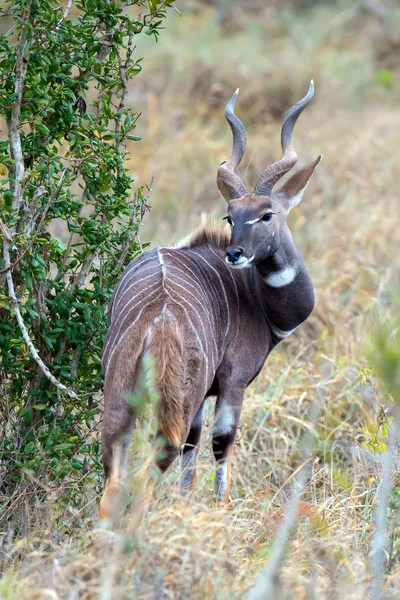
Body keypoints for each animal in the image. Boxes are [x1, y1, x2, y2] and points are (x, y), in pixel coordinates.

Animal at [100, 79, 322, 520]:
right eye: (230, 216)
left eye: (266, 214)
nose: (235, 253)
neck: (256, 300)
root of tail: (157, 320)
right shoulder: (232, 381)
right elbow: (222, 442)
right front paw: (220, 511)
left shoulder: (205, 395)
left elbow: (195, 445)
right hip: (175, 401)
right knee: (149, 473)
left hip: (119, 394)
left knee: (114, 480)